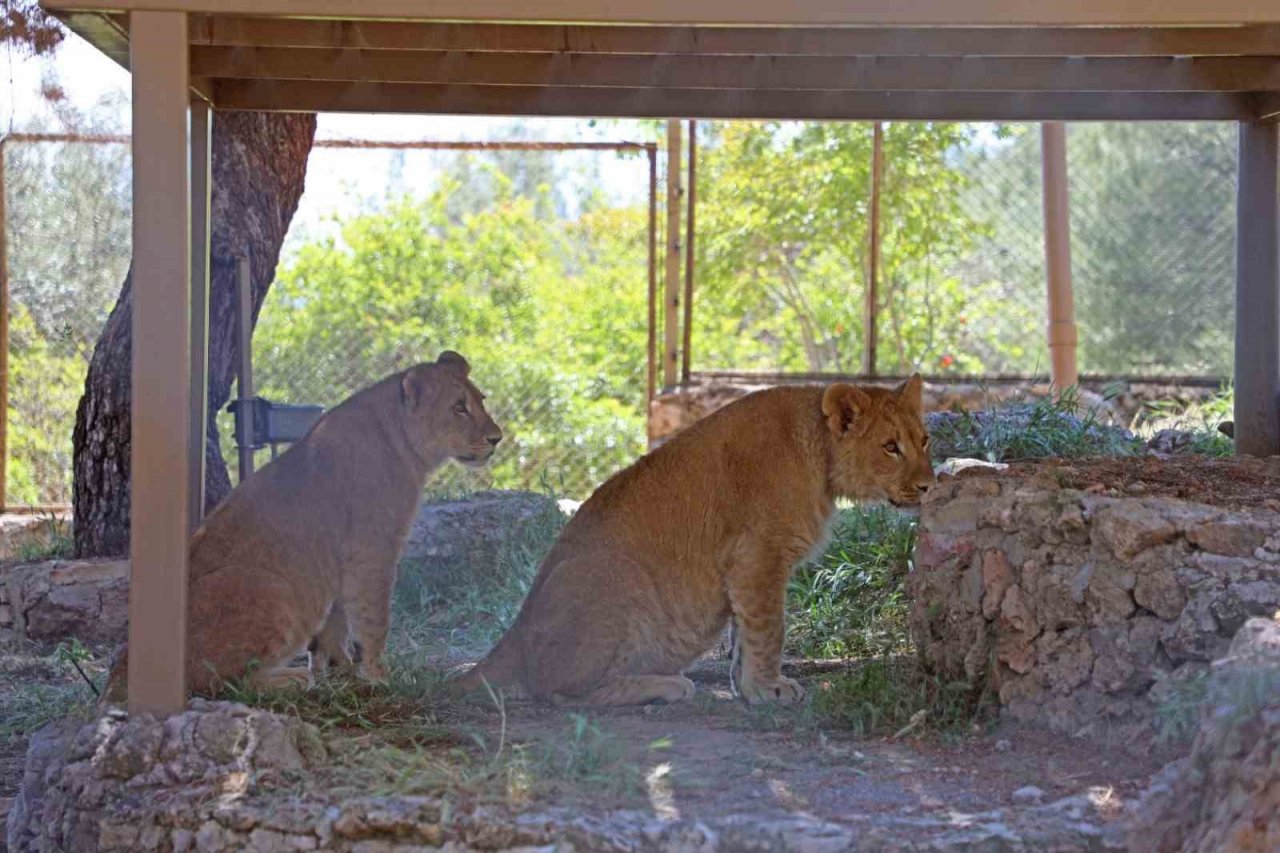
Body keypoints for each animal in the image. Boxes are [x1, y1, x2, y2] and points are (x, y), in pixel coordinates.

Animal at [101, 350, 499, 696]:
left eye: (480, 400)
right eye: (459, 408)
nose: (497, 438)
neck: (403, 441)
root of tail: (120, 676)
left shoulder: (340, 560)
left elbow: (335, 624)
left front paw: (338, 671)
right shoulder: (372, 550)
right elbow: (373, 618)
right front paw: (378, 676)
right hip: (275, 590)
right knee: (226, 683)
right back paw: (292, 679)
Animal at [460, 373, 931, 701]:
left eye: (924, 440)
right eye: (890, 447)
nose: (930, 485)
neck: (821, 456)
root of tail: (512, 636)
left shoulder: (747, 567)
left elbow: (744, 632)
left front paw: (745, 687)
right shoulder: (758, 556)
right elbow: (769, 628)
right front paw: (769, 689)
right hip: (618, 577)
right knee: (561, 689)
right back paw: (667, 685)